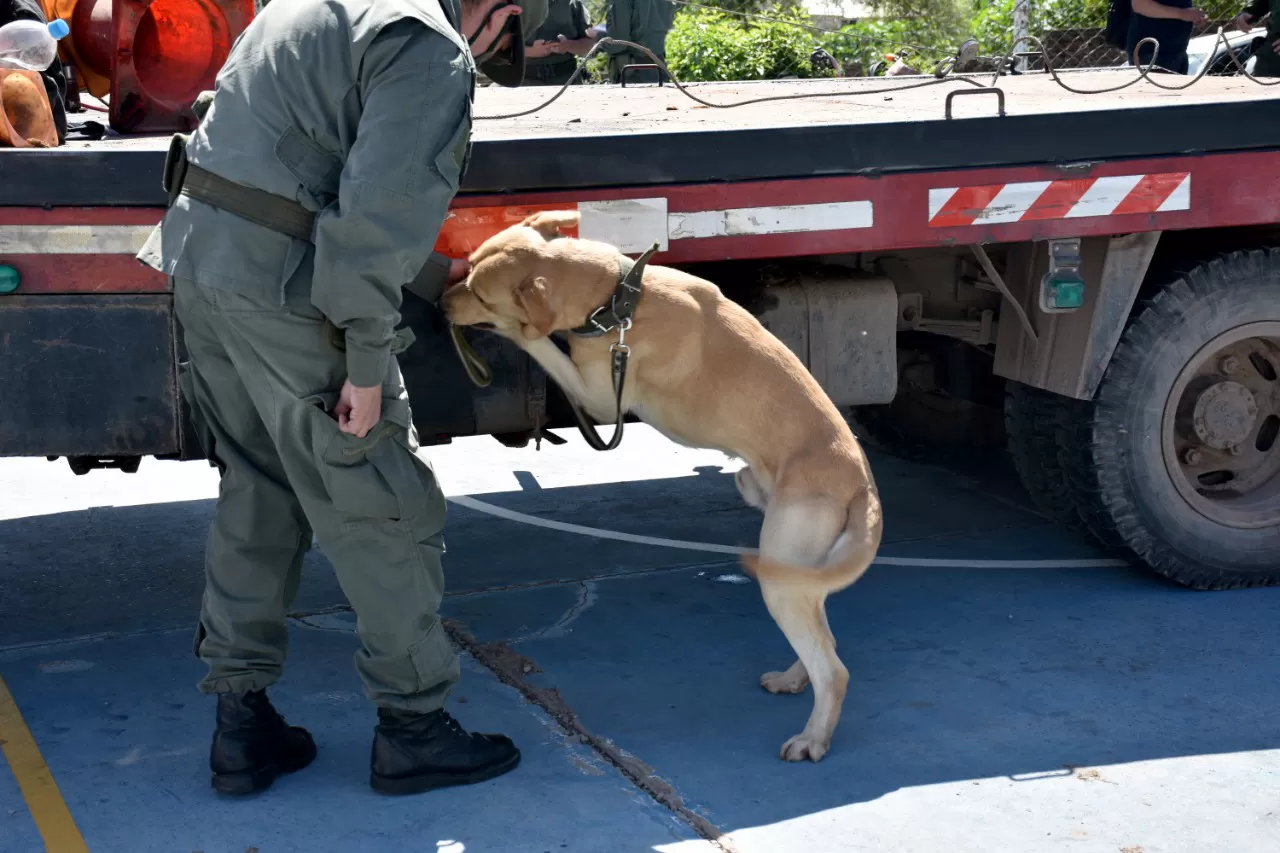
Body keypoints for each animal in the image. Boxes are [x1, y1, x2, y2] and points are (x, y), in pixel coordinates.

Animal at [440, 208, 880, 758]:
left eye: (480, 294)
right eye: (468, 267)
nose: (441, 302)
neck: (620, 298)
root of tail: (862, 487)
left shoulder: (599, 398)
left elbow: (541, 342)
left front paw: (519, 330)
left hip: (782, 572)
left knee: (834, 669)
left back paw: (813, 738)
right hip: (801, 573)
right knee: (824, 641)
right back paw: (793, 678)